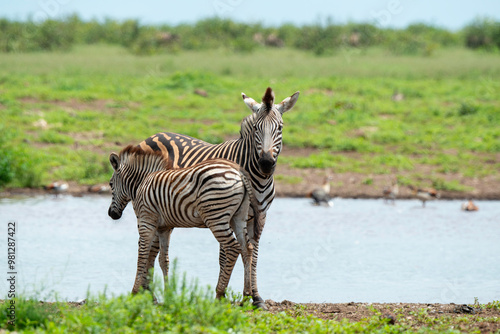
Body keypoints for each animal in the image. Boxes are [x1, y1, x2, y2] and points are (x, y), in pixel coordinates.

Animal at [107, 146, 260, 306]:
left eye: (110, 184)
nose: (112, 214)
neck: (143, 182)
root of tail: (238, 171)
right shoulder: (164, 228)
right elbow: (163, 260)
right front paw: (166, 295)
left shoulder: (146, 221)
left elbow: (142, 256)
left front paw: (135, 292)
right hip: (238, 217)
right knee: (247, 248)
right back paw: (246, 295)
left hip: (215, 217)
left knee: (232, 248)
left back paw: (219, 294)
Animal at [138, 87, 300, 308]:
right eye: (256, 128)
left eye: (280, 128)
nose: (266, 163)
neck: (258, 178)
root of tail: (157, 134)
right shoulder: (228, 215)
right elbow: (227, 256)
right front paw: (223, 295)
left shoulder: (260, 216)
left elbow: (253, 253)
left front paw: (255, 297)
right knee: (150, 247)